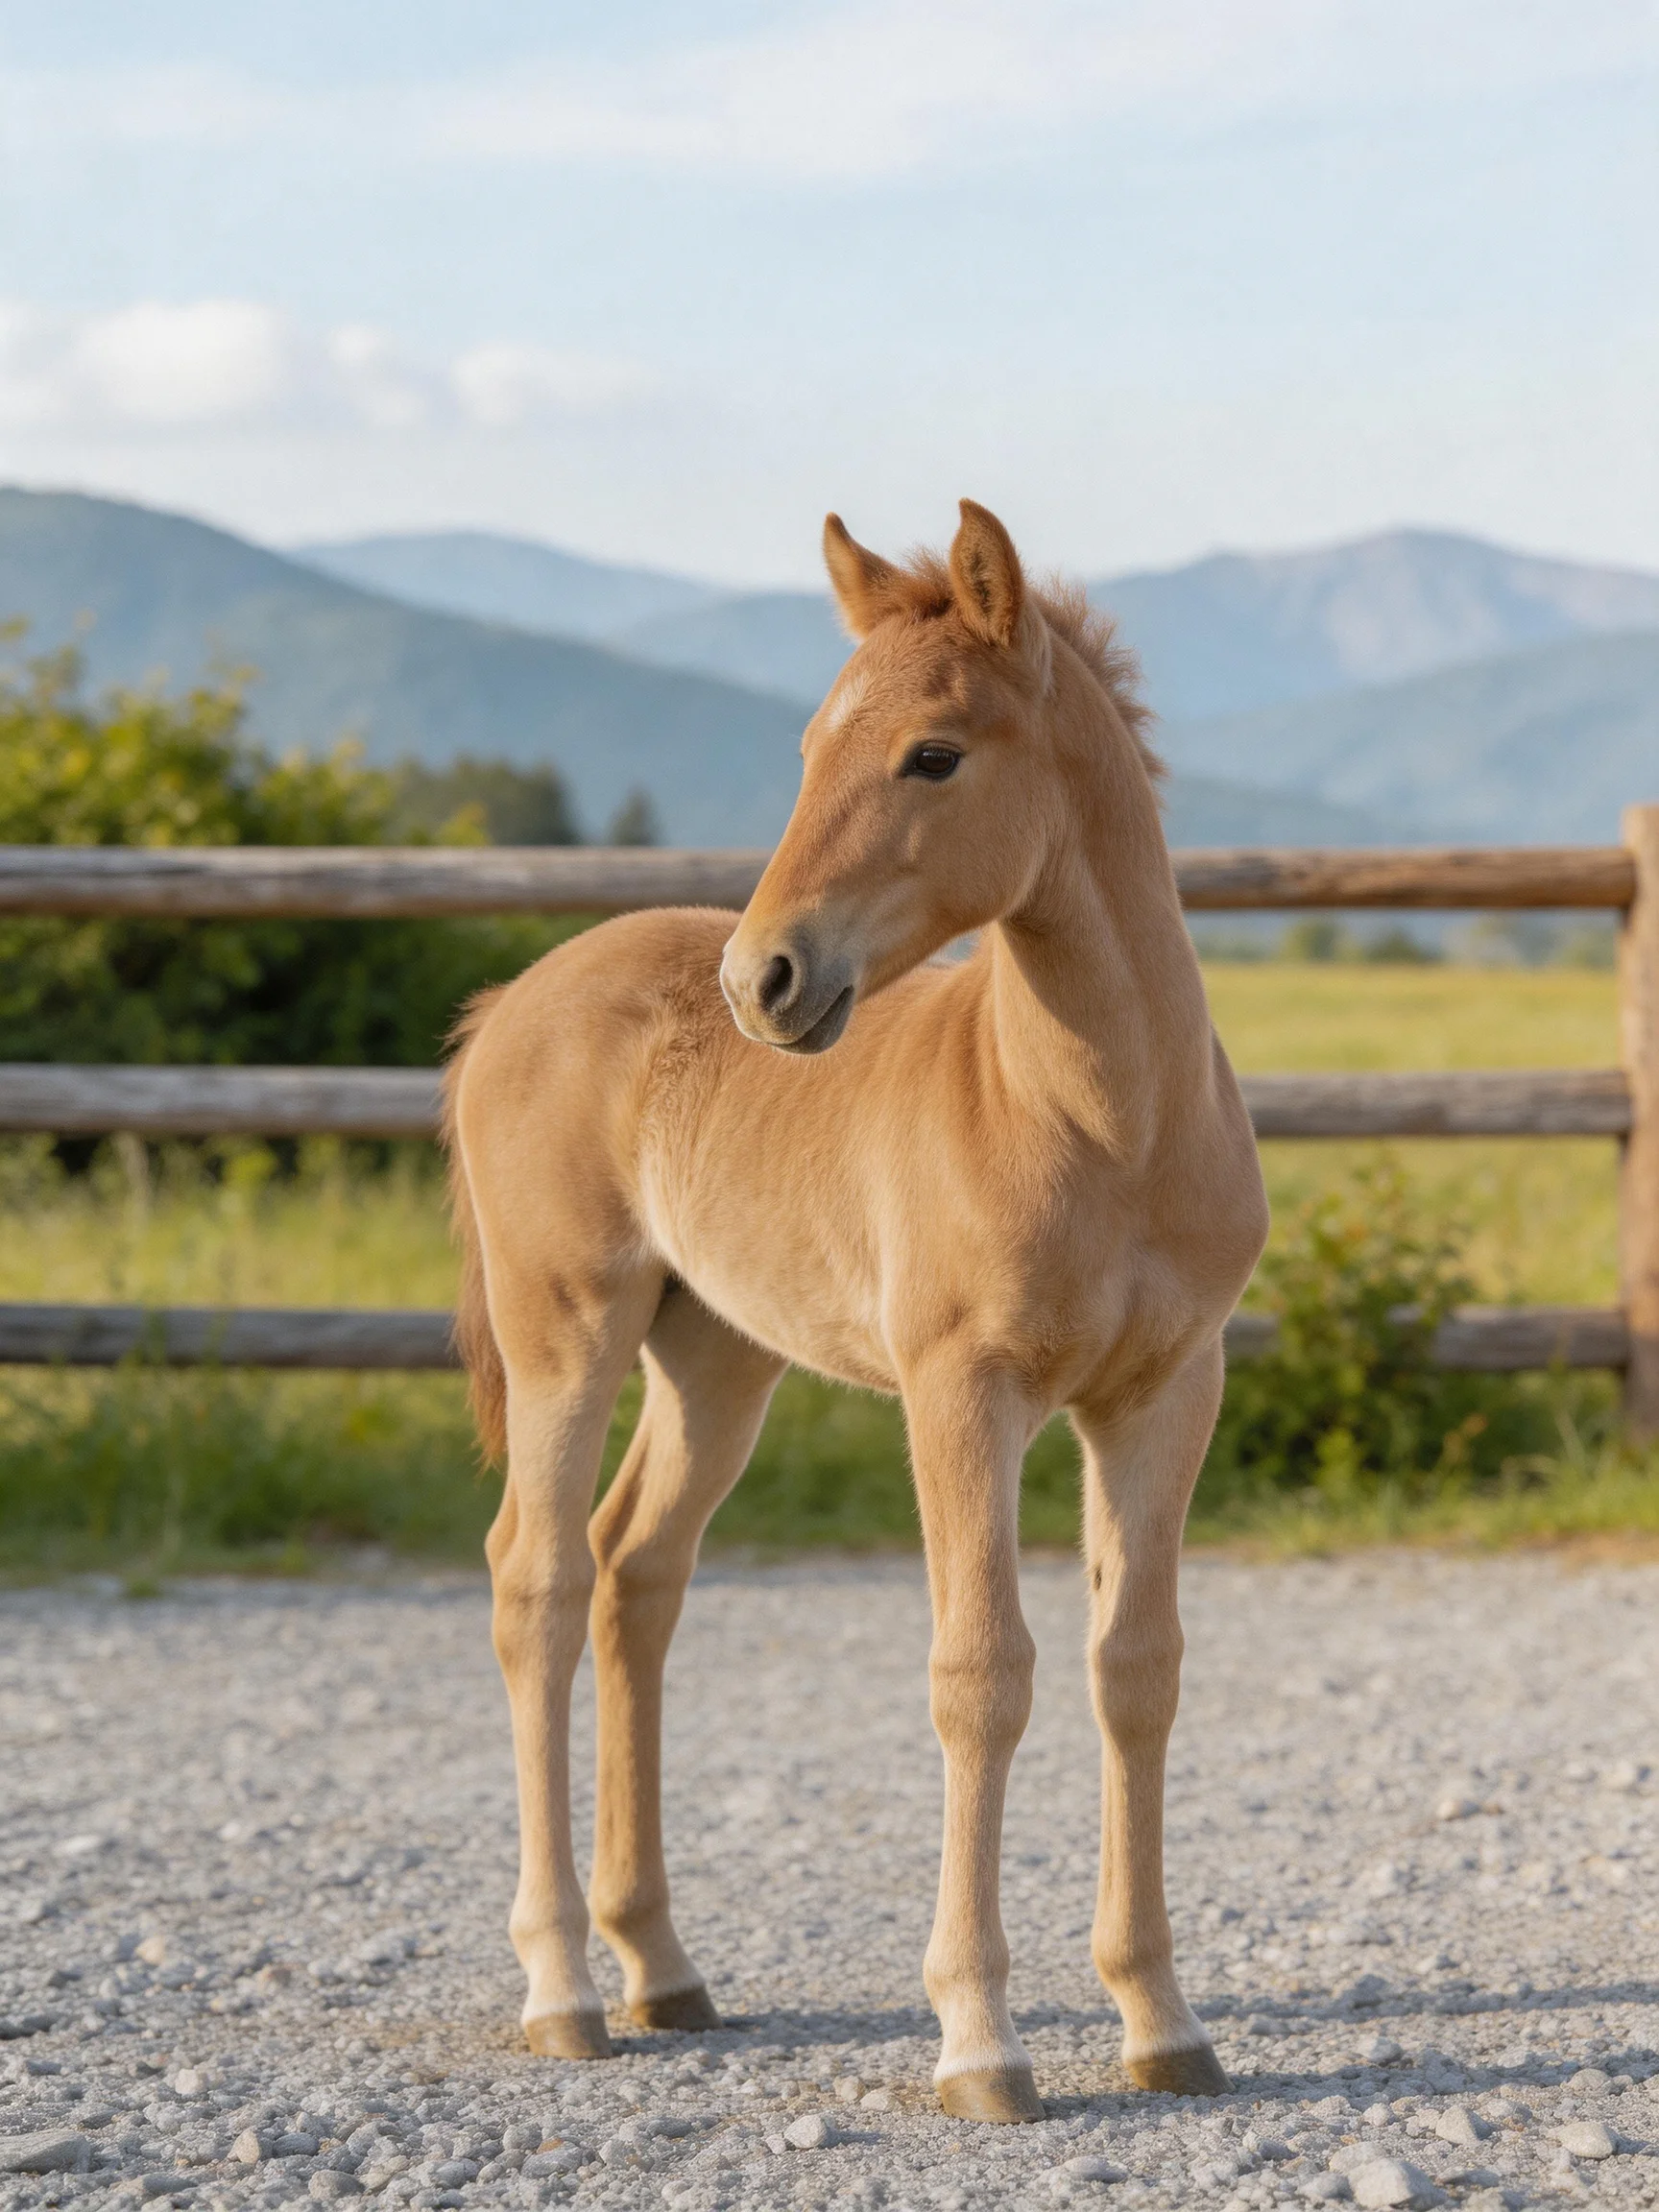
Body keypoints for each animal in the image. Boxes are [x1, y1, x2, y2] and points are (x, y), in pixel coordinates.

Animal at [443, 500, 1269, 2121]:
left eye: (931, 755)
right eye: (811, 747)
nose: (765, 978)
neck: (1102, 1121)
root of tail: (512, 1001)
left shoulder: (1166, 1391)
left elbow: (1135, 1671)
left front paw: (1161, 2021)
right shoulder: (964, 1391)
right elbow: (981, 1675)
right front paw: (981, 2043)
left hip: (717, 1360)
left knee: (636, 1571)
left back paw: (661, 1969)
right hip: (566, 1330)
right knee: (539, 1582)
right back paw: (563, 1987)